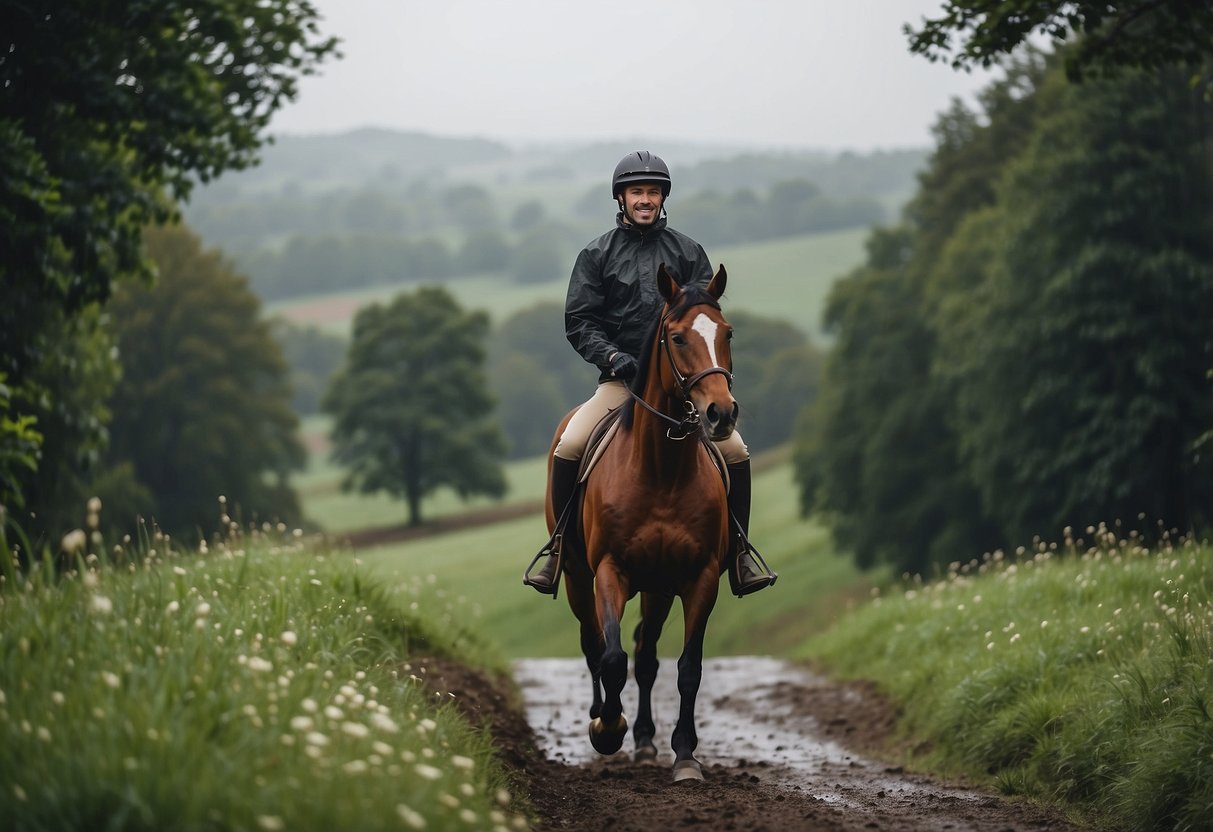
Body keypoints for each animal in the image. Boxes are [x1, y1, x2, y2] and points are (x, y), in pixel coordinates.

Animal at [545, 264, 732, 785]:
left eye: (727, 333)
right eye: (678, 337)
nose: (722, 413)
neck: (662, 468)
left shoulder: (699, 577)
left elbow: (688, 668)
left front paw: (685, 755)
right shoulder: (611, 570)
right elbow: (611, 658)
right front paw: (608, 729)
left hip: (658, 586)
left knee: (647, 656)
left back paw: (647, 742)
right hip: (577, 577)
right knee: (594, 644)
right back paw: (603, 719)